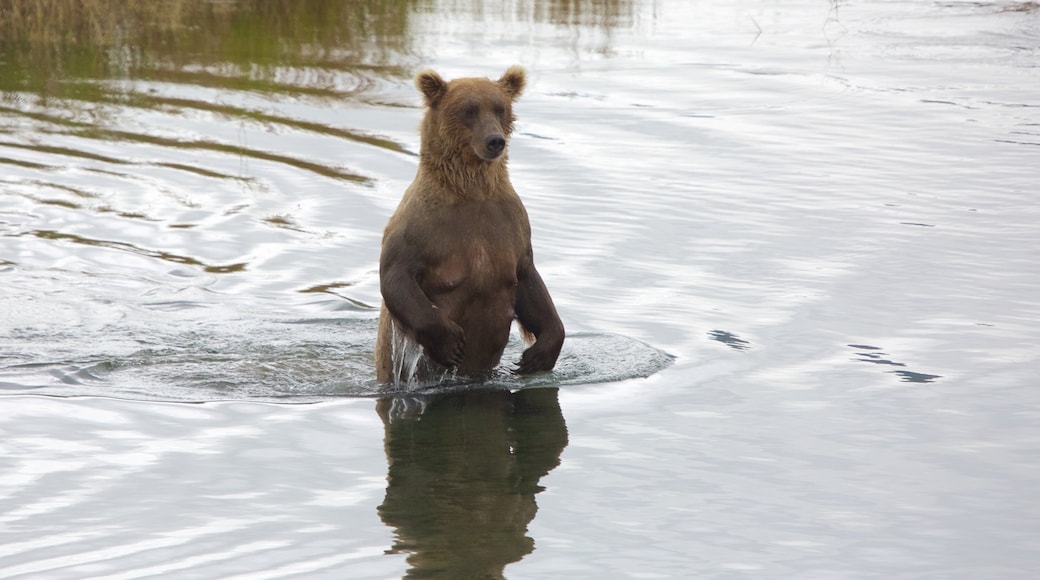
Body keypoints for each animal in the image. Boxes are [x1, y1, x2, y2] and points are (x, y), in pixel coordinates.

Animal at [378, 67, 565, 386]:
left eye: (500, 108)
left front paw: (536, 355)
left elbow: (528, 281)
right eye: (468, 110)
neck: (472, 192)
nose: (495, 140)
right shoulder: (420, 226)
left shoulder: (511, 226)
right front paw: (451, 342)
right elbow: (396, 277)